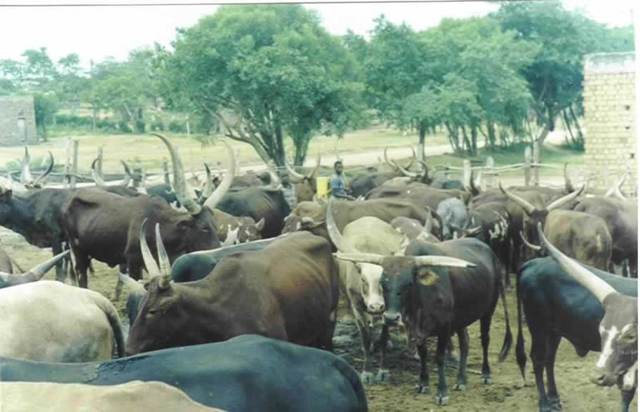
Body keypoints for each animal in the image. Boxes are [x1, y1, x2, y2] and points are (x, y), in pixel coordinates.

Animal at [62, 134, 234, 288]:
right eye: (204, 228)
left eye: (215, 225)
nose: (219, 255)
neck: (159, 225)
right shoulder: (133, 263)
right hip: (78, 252)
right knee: (82, 278)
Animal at [326, 200, 408, 383]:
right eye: (363, 280)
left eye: (386, 280)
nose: (376, 307)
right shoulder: (357, 307)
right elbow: (365, 338)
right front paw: (366, 372)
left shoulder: (387, 310)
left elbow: (383, 337)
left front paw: (383, 370)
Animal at [335, 237, 512, 406]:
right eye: (383, 283)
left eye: (409, 284)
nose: (391, 318)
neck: (422, 301)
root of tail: (490, 252)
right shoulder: (416, 329)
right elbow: (423, 354)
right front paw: (423, 384)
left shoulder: (444, 327)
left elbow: (439, 357)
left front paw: (442, 392)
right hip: (461, 318)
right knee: (465, 343)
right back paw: (461, 380)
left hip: (488, 310)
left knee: (485, 340)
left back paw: (486, 374)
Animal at [516, 225, 637, 412]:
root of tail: (533, 263)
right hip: (538, 326)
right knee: (538, 359)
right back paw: (544, 403)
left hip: (554, 331)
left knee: (549, 359)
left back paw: (554, 398)